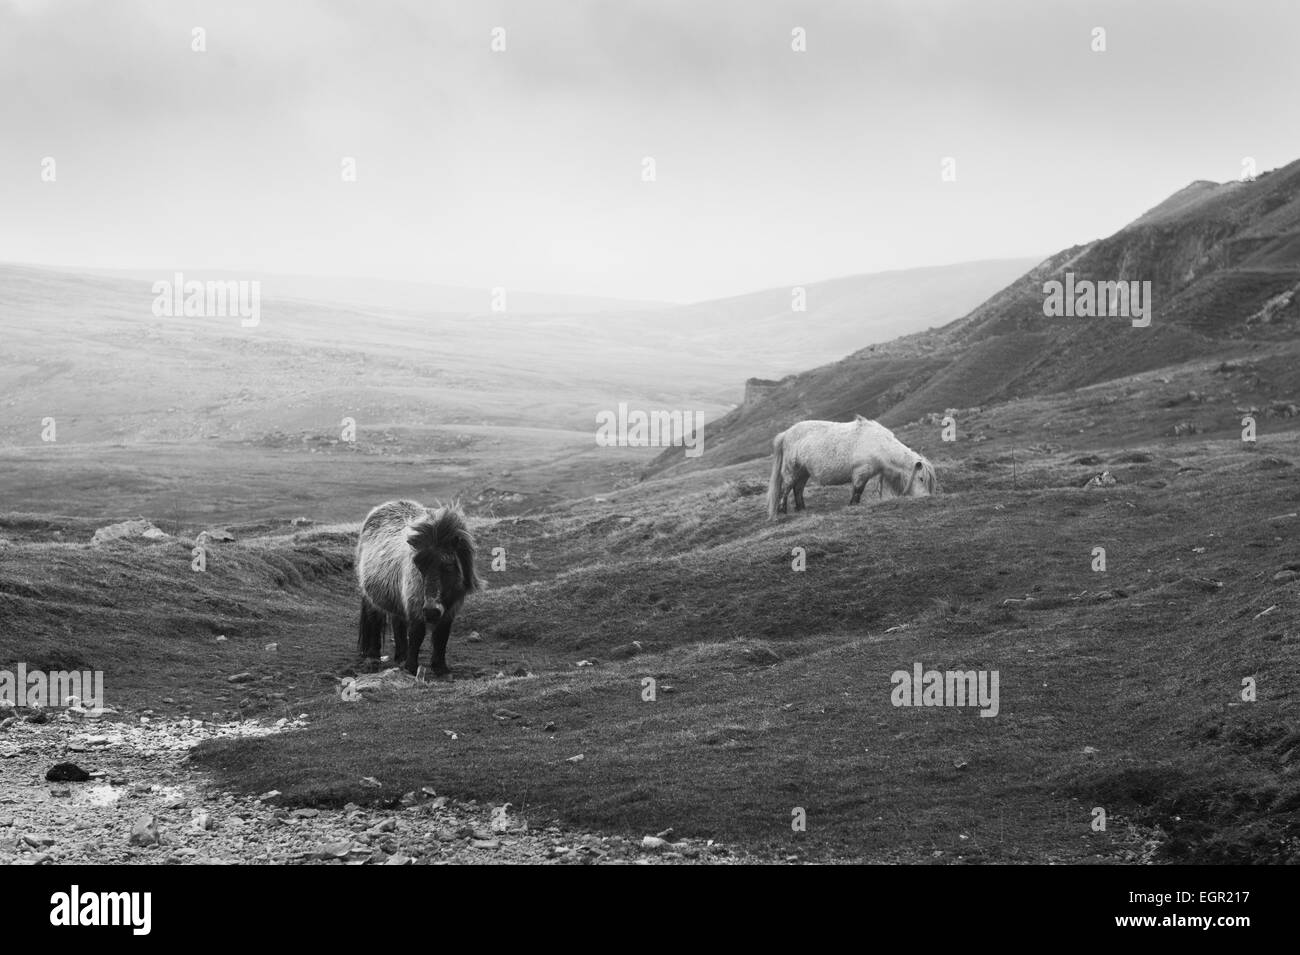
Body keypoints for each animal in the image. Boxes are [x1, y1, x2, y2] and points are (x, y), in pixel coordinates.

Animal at [355, 500, 484, 677]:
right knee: (374, 621)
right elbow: (417, 634)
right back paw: (373, 659)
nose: (431, 610)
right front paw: (411, 668)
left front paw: (441, 668)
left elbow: (442, 636)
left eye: (449, 566)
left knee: (398, 623)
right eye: (418, 564)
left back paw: (401, 656)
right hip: (371, 599)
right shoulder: (416, 605)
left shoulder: (450, 610)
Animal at [766, 415, 936, 518]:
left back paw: (801, 508)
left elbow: (858, 491)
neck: (880, 445)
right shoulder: (861, 472)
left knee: (798, 489)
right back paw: (782, 512)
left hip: (803, 472)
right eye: (921, 478)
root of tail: (786, 433)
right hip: (792, 471)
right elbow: (857, 491)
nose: (926, 497)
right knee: (786, 489)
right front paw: (852, 506)